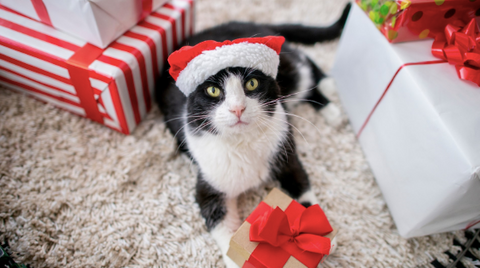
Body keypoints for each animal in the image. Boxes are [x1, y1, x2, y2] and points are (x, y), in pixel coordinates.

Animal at [157, 3, 348, 266]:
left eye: (252, 84)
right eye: (213, 90)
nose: (238, 108)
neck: (243, 143)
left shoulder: (284, 150)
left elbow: (301, 185)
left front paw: (315, 232)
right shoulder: (209, 180)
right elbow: (217, 218)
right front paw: (234, 257)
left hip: (287, 73)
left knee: (302, 64)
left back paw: (330, 97)